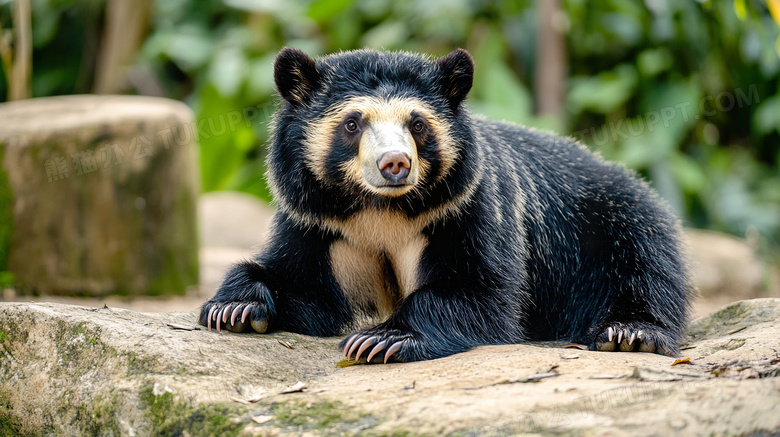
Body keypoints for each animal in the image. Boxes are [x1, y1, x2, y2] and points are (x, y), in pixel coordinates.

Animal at [198, 46, 692, 362]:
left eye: (417, 124)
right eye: (353, 123)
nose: (394, 164)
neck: (381, 210)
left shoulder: (468, 209)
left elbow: (482, 293)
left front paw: (381, 339)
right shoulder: (319, 222)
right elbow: (306, 285)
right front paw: (233, 309)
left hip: (611, 220)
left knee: (645, 268)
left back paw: (629, 334)